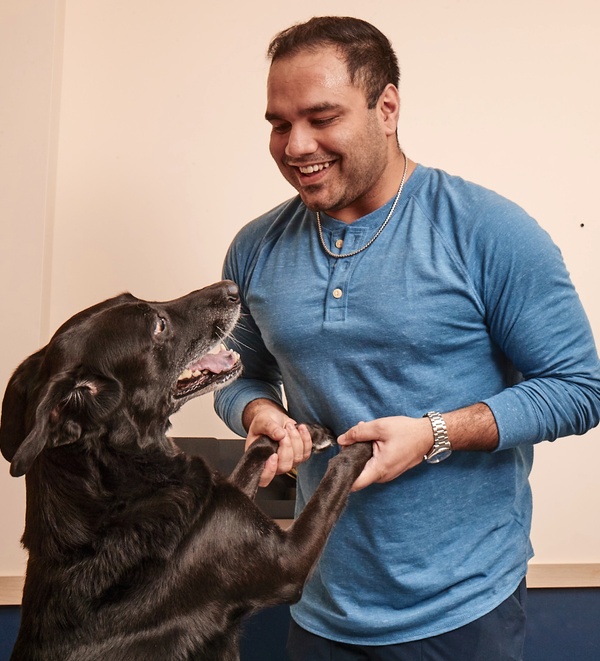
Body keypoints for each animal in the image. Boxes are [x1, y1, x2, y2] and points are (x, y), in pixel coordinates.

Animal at [1, 282, 370, 660]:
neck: (120, 493)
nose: (232, 288)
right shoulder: (289, 560)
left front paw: (307, 432)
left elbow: (259, 446)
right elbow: (332, 483)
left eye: (134, 297)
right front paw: (368, 441)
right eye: (158, 325)